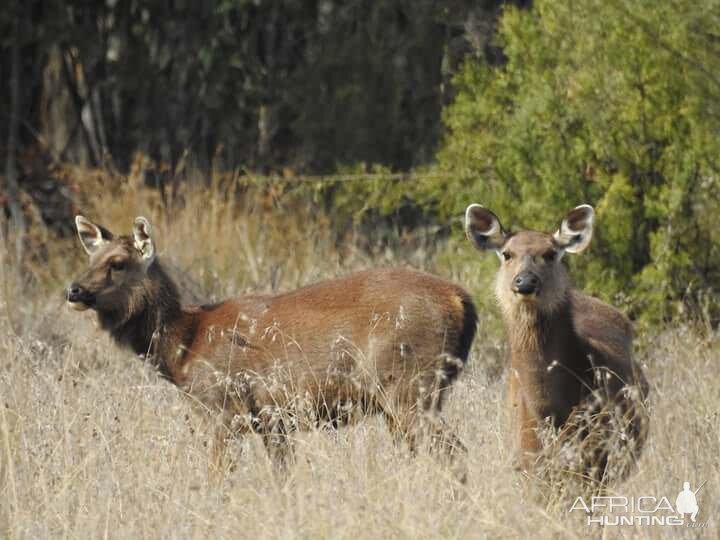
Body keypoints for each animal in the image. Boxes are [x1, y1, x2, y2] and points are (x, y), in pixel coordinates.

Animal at [67, 215, 478, 476]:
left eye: (118, 263)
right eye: (91, 257)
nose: (74, 289)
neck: (186, 346)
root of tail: (461, 300)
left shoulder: (223, 408)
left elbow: (219, 476)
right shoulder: (273, 420)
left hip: (408, 385)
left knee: (455, 452)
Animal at [464, 205, 648, 484]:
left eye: (550, 254)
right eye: (507, 254)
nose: (525, 281)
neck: (551, 411)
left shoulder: (599, 459)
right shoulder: (527, 461)